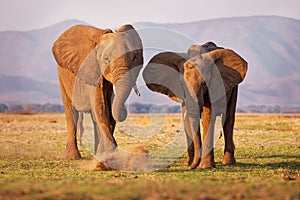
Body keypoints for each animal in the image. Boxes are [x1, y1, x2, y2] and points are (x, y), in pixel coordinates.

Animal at [51, 23, 143, 161]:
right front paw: (111, 155)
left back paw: (96, 154)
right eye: (106, 59)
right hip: (62, 76)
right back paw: (72, 157)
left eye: (134, 58)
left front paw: (105, 155)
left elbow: (108, 111)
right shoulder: (92, 71)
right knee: (72, 112)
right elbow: (101, 108)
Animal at [143, 41, 248, 169]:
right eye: (182, 84)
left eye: (205, 84)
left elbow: (209, 116)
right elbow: (187, 120)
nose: (192, 167)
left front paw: (205, 167)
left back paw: (228, 162)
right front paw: (188, 163)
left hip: (233, 88)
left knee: (228, 119)